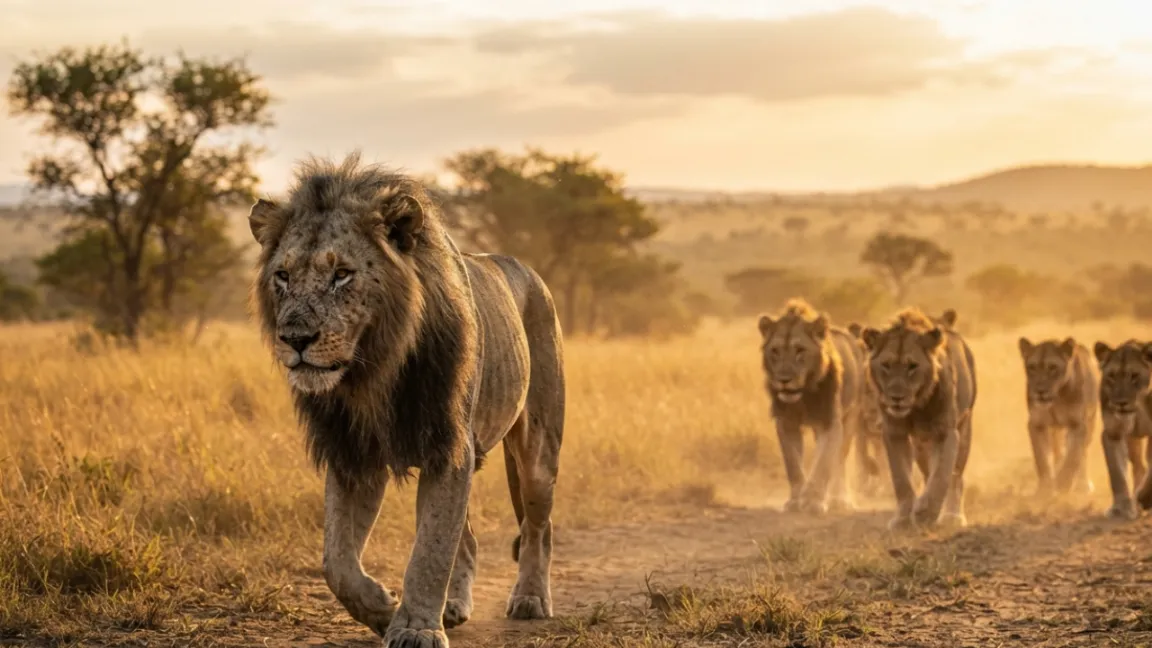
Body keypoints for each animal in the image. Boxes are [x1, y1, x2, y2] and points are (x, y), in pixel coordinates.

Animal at [248, 152, 565, 648]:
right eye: (282, 276)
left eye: (342, 275)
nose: (295, 339)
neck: (371, 371)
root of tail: (530, 273)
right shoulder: (353, 452)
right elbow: (336, 561)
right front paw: (382, 609)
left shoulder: (447, 445)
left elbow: (431, 549)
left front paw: (415, 628)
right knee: (469, 538)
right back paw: (453, 606)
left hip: (537, 448)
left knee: (538, 526)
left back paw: (531, 598)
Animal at [758, 299, 866, 514]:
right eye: (775, 351)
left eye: (800, 350)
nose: (784, 380)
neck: (803, 396)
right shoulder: (786, 423)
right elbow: (793, 465)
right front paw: (796, 500)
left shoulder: (830, 422)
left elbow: (824, 463)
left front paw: (813, 501)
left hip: (851, 417)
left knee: (840, 460)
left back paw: (839, 499)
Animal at [860, 308, 977, 529]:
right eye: (886, 365)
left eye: (912, 366)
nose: (896, 398)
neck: (915, 408)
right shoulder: (894, 433)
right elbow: (901, 479)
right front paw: (903, 519)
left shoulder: (946, 432)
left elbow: (942, 474)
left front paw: (926, 513)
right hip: (920, 444)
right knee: (926, 470)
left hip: (964, 427)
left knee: (956, 477)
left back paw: (952, 515)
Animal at [1018, 337, 1097, 496]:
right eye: (1032, 367)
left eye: (1052, 367)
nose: (1040, 391)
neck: (1057, 398)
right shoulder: (1036, 424)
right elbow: (1042, 459)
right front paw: (1045, 490)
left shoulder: (1079, 424)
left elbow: (1073, 456)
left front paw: (1063, 485)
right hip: (1055, 430)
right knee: (1058, 451)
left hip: (1090, 422)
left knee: (1083, 454)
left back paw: (1083, 484)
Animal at [1093, 340, 1152, 520]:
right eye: (1112, 376)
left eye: (1134, 375)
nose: (1121, 403)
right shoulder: (1113, 433)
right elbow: (1117, 473)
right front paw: (1121, 507)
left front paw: (1144, 498)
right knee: (1140, 467)